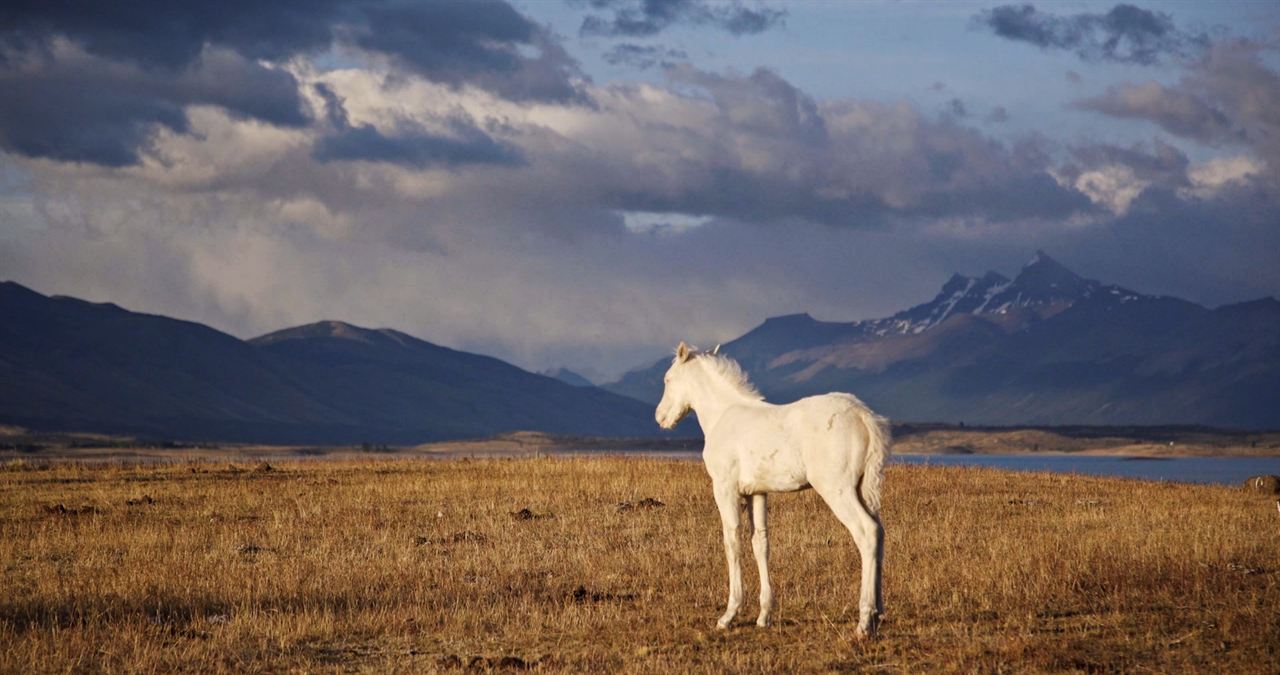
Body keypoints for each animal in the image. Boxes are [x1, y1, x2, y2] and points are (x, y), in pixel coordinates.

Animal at [660, 343, 890, 640]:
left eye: (667, 379)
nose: (660, 418)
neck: (723, 415)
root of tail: (864, 416)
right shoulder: (757, 492)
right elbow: (760, 543)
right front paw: (764, 615)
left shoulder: (724, 487)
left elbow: (732, 542)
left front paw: (729, 615)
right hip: (862, 489)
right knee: (880, 532)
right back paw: (879, 613)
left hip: (837, 489)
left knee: (867, 532)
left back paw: (864, 621)